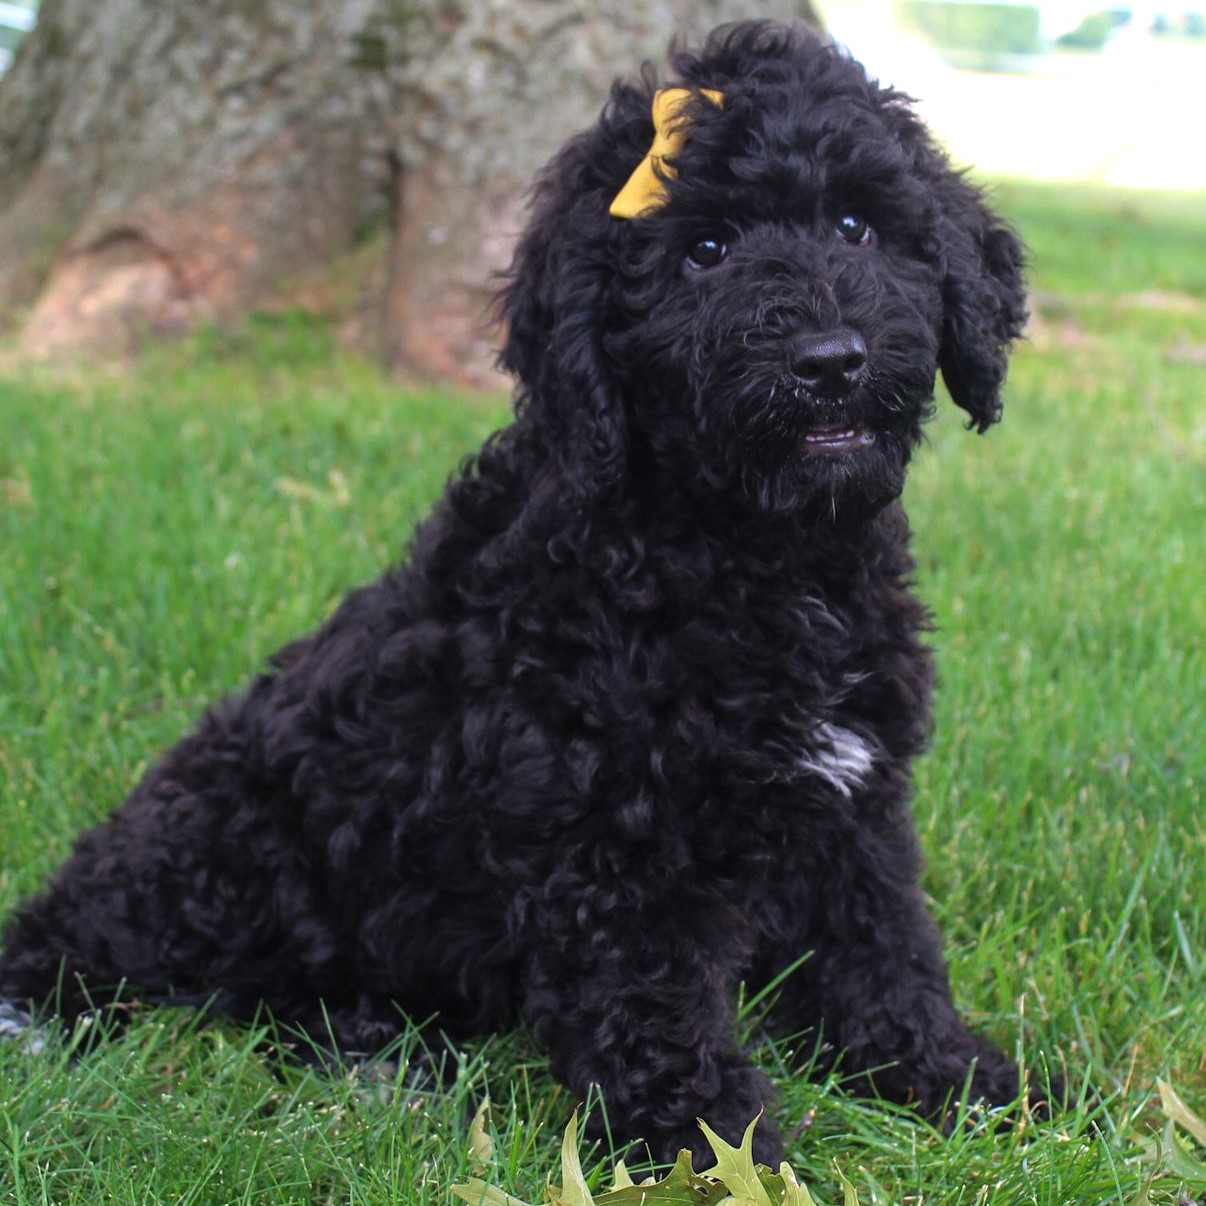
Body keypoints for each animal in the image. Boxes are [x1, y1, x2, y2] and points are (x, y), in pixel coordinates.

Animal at [0, 21, 1041, 1167]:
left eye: (857, 226)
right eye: (703, 252)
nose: (829, 361)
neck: (749, 555)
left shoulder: (852, 800)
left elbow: (882, 949)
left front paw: (962, 1084)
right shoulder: (612, 840)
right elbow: (652, 1007)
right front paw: (720, 1152)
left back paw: (380, 1053)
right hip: (230, 833)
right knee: (115, 944)